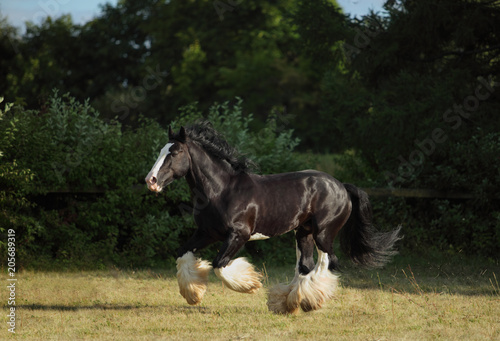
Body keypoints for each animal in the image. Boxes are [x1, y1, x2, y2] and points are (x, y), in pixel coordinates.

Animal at [145, 123, 402, 314]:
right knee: (305, 266)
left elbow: (219, 264)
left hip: (323, 233)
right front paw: (193, 295)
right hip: (303, 233)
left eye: (175, 152)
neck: (221, 190)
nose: (151, 181)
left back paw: (309, 302)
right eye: (160, 151)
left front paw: (250, 284)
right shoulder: (207, 233)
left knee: (327, 262)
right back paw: (289, 303)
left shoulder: (239, 235)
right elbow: (183, 253)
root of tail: (341, 186)